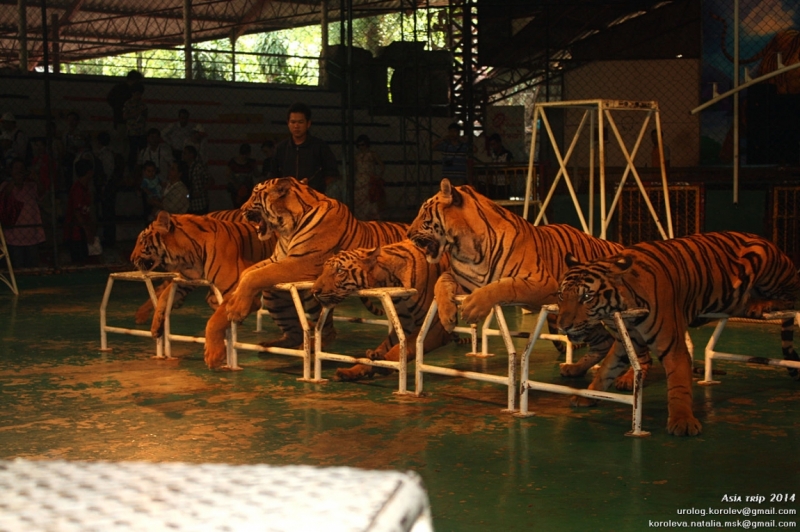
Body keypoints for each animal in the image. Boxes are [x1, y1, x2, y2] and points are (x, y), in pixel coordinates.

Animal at [203, 177, 410, 368]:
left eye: (254, 194)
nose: (242, 208)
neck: (287, 229)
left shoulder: (300, 263)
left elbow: (255, 276)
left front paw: (236, 309)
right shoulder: (275, 259)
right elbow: (245, 275)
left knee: (326, 332)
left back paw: (309, 348)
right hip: (277, 298)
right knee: (299, 332)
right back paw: (273, 345)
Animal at [308, 239, 466, 380]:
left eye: (340, 271)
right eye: (324, 269)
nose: (314, 291)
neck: (388, 279)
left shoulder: (435, 327)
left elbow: (404, 347)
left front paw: (383, 364)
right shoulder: (406, 324)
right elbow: (388, 346)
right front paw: (353, 371)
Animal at [406, 178, 648, 382]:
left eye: (424, 213)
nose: (408, 233)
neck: (465, 249)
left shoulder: (541, 282)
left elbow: (503, 286)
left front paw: (473, 308)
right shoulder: (461, 280)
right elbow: (441, 283)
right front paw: (447, 317)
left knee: (639, 350)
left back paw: (629, 380)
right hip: (583, 321)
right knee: (605, 342)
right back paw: (574, 369)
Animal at [556, 232, 800, 436]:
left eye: (587, 297)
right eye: (561, 295)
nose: (562, 326)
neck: (623, 310)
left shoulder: (672, 346)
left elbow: (679, 384)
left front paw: (683, 422)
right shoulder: (628, 341)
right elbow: (606, 370)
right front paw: (587, 395)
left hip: (767, 266)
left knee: (790, 298)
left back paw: (761, 304)